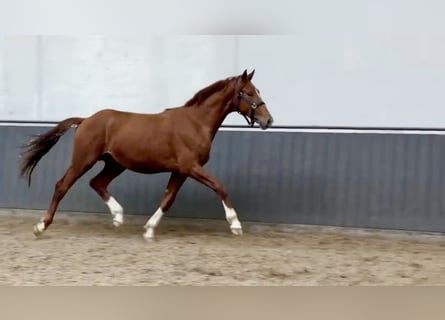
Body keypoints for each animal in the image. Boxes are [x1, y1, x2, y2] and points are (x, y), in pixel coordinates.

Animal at [20, 70, 270, 240]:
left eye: (258, 91)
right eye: (248, 93)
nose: (268, 120)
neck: (196, 123)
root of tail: (86, 120)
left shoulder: (180, 171)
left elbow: (168, 199)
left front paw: (149, 230)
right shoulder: (190, 166)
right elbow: (220, 186)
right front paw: (235, 225)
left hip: (115, 164)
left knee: (97, 183)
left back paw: (118, 217)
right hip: (84, 159)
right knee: (62, 185)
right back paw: (41, 226)